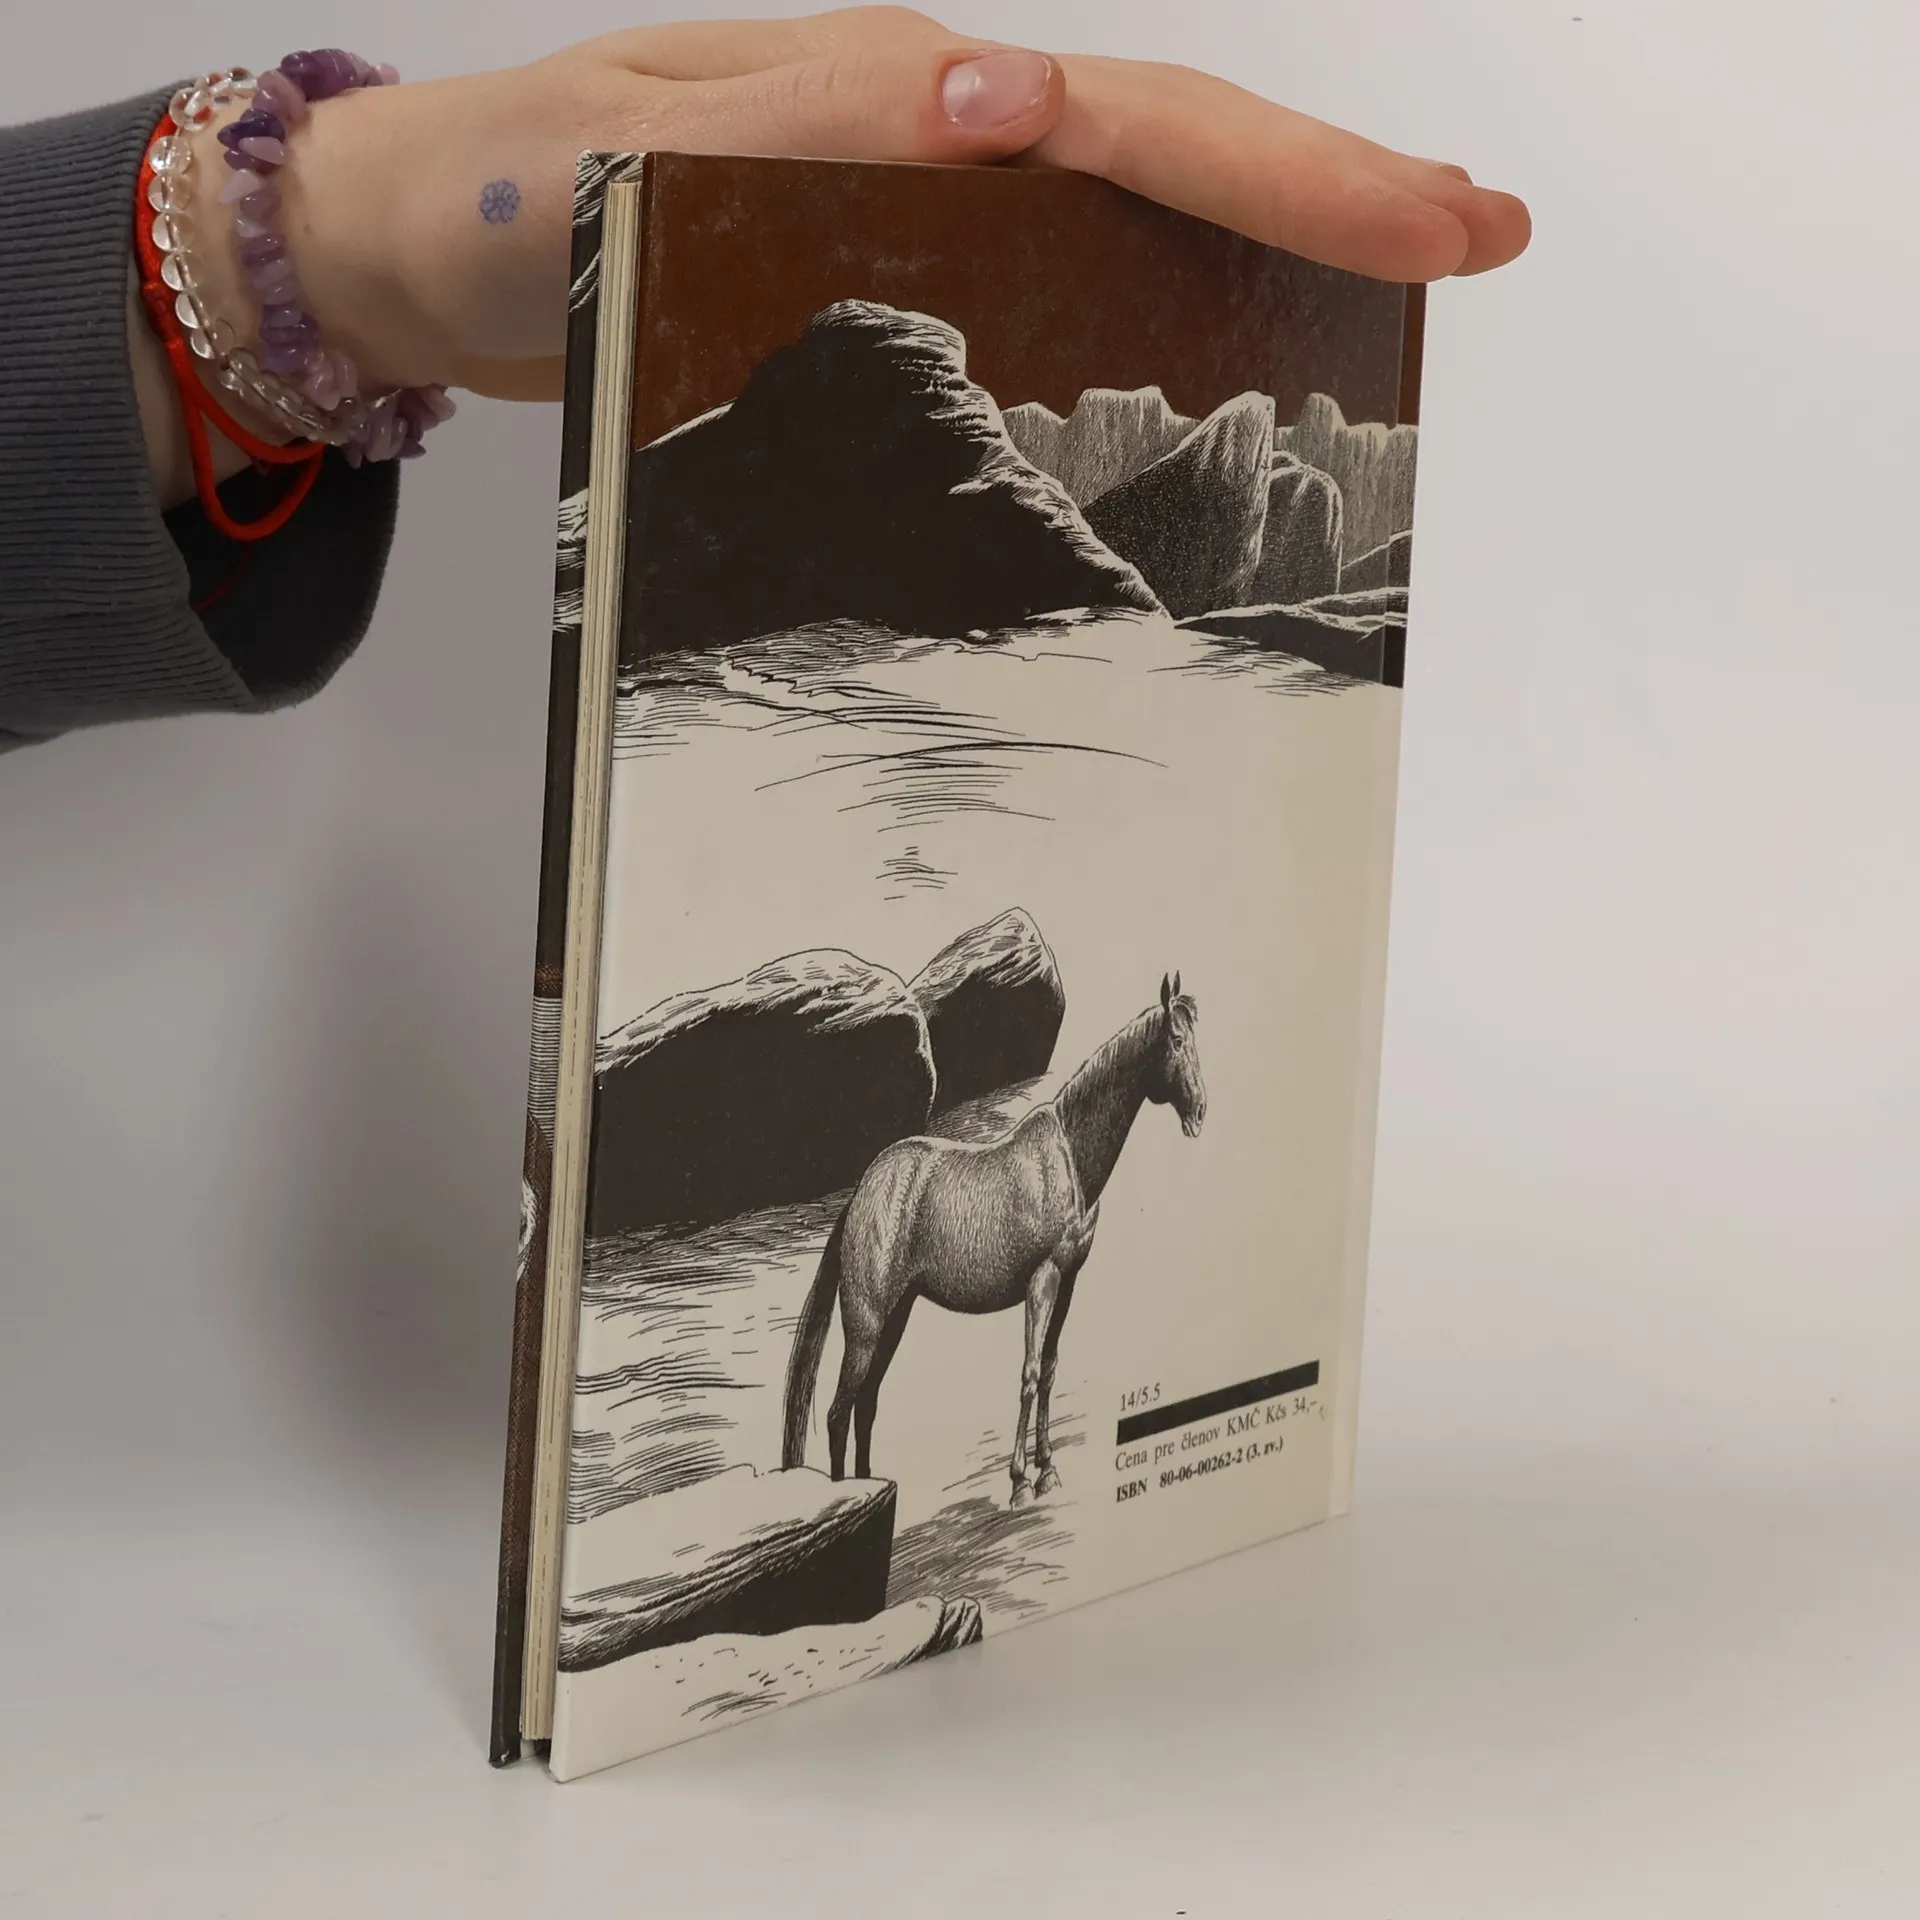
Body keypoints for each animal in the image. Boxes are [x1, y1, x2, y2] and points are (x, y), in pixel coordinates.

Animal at [782, 973, 1206, 1506]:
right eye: (1177, 1041)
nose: (1200, 1111)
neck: (1068, 1156)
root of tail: (863, 1194)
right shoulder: (1042, 1281)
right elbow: (1028, 1374)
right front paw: (1021, 1481)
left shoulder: (1068, 1282)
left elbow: (1048, 1370)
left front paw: (1047, 1469)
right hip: (866, 1325)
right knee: (840, 1412)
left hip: (896, 1318)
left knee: (866, 1406)